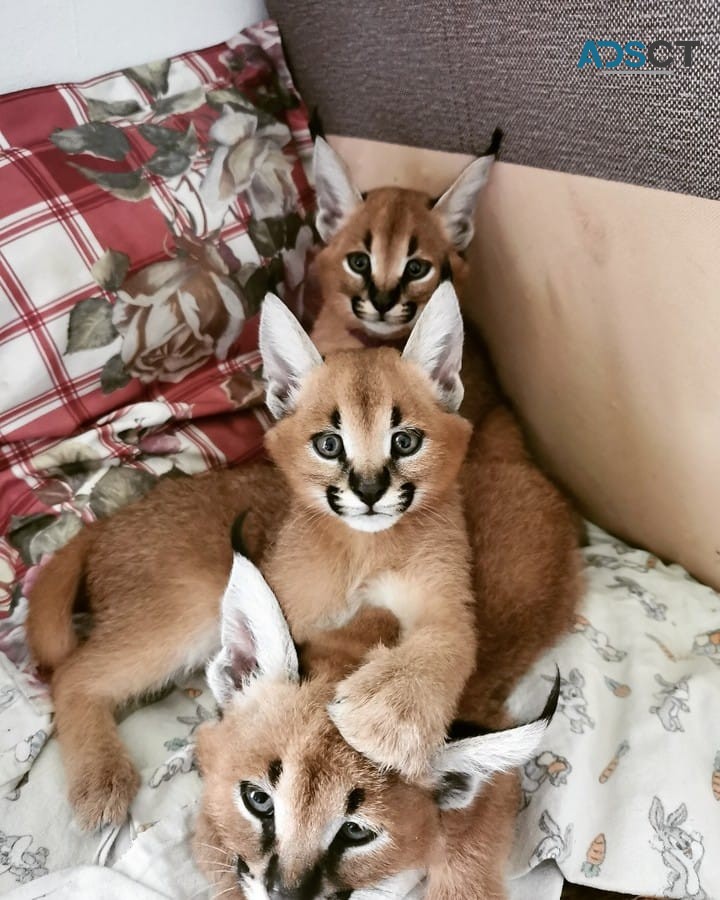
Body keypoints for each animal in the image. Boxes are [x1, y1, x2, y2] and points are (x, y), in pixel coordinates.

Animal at [26, 284, 478, 828]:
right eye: (329, 444)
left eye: (405, 441)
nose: (369, 491)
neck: (363, 547)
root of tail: (108, 521)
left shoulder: (447, 603)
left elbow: (450, 643)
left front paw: (391, 714)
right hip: (186, 609)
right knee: (72, 673)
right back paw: (100, 776)